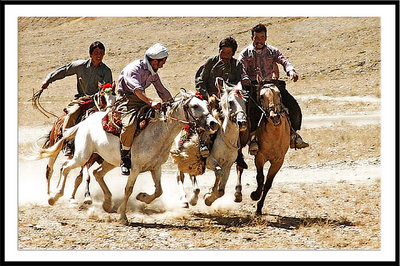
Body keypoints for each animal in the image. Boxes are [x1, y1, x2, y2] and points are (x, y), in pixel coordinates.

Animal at [36, 90, 219, 223]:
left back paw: (107, 203)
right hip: (83, 155)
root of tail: (84, 122)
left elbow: (158, 190)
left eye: (207, 105)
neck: (158, 132)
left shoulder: (155, 167)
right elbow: (128, 189)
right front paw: (123, 216)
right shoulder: (135, 168)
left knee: (97, 173)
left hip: (108, 160)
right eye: (195, 106)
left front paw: (142, 197)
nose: (213, 123)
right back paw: (53, 197)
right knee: (64, 168)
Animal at [236, 80, 290, 215]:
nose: (275, 116)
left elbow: (268, 184)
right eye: (261, 97)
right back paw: (238, 193)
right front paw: (255, 195)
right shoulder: (260, 157)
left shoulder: (278, 162)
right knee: (239, 165)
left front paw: (259, 207)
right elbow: (260, 178)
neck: (275, 135)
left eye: (279, 94)